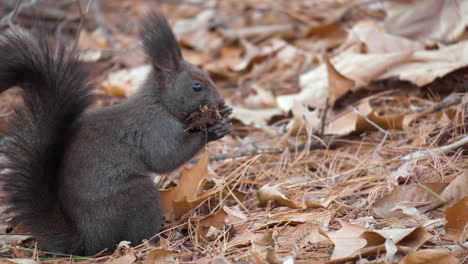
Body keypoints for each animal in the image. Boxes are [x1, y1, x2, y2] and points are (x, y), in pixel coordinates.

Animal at [0, 12, 232, 256]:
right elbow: (166, 157)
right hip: (139, 196)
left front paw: (223, 114)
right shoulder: (154, 129)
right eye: (197, 86)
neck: (158, 102)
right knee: (135, 237)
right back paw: (156, 240)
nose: (220, 101)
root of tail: (89, 241)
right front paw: (213, 131)